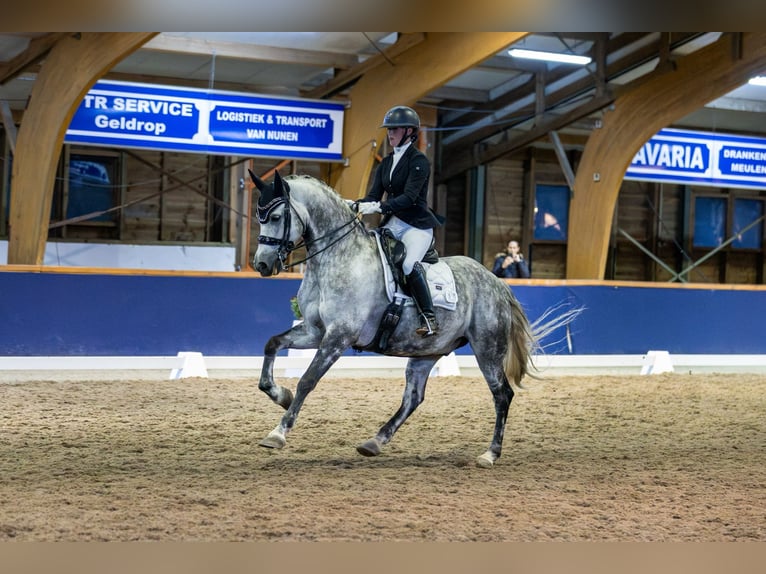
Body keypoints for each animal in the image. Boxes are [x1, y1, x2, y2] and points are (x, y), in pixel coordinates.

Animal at [250, 170, 576, 468]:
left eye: (276, 216)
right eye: (259, 217)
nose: (262, 264)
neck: (337, 258)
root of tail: (497, 282)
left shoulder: (338, 337)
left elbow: (308, 380)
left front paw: (277, 433)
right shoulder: (315, 331)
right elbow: (271, 344)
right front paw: (280, 394)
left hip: (488, 348)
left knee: (502, 394)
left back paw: (490, 454)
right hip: (427, 351)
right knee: (414, 397)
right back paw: (374, 442)